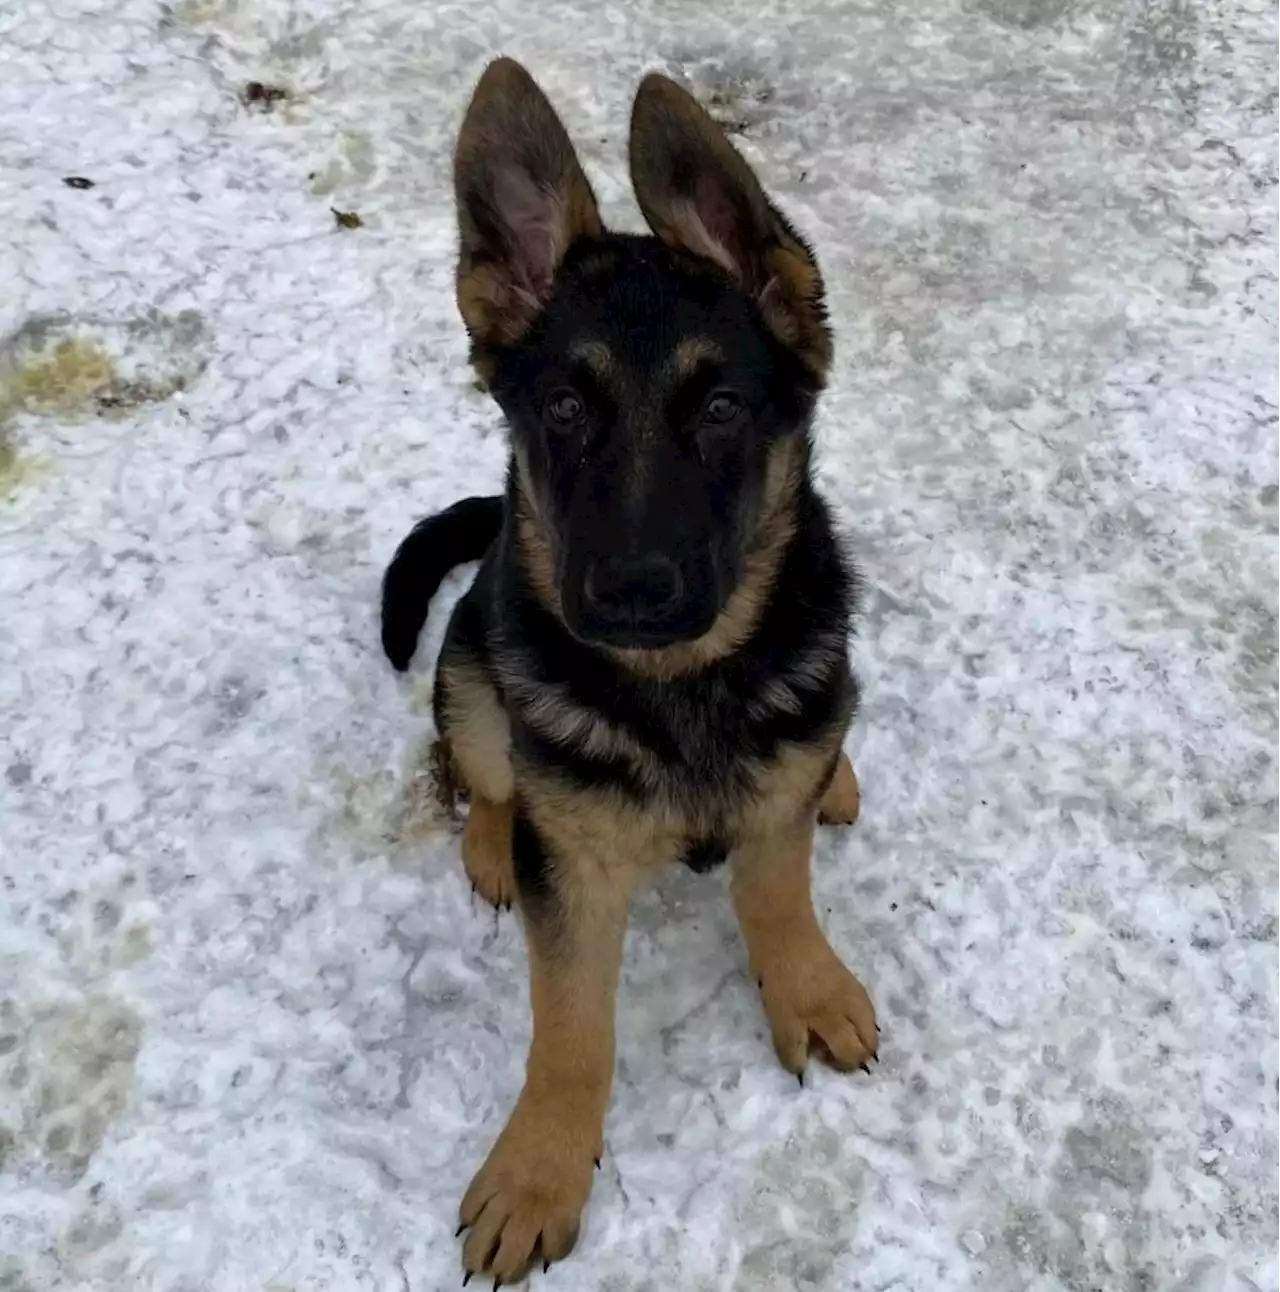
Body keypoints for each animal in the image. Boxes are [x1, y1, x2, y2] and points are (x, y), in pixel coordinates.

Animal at [379, 58, 878, 1281]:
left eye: (722, 408)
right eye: (563, 408)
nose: (631, 592)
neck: (684, 685)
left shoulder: (773, 802)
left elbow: (781, 891)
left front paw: (807, 985)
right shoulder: (576, 875)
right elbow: (570, 1030)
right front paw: (539, 1171)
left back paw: (837, 771)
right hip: (472, 662)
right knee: (483, 762)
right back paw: (491, 839)